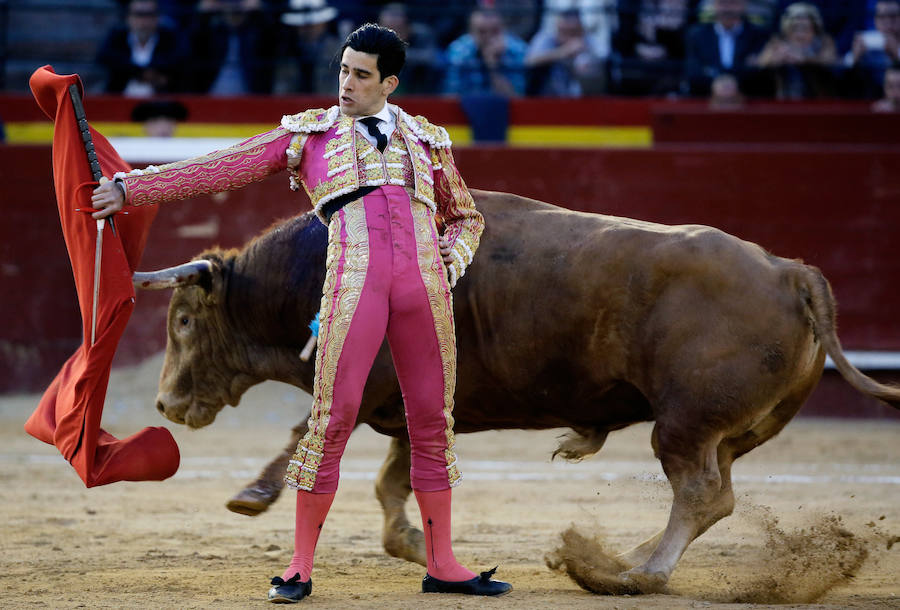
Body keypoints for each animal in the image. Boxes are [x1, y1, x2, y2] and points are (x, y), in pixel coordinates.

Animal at [141, 189, 900, 588]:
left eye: (183, 321)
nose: (166, 404)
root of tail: (791, 271)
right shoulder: (408, 407)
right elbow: (395, 482)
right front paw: (417, 547)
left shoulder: (368, 384)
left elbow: (313, 434)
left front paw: (251, 495)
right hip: (731, 430)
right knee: (721, 493)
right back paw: (627, 561)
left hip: (683, 425)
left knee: (700, 493)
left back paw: (634, 575)